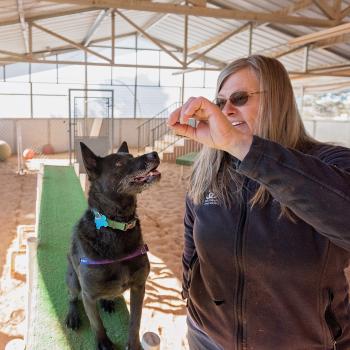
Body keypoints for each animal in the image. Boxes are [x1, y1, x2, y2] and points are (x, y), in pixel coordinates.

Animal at [65, 142, 161, 350]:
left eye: (131, 156)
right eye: (118, 163)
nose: (155, 154)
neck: (116, 227)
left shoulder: (139, 287)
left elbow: (135, 322)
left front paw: (133, 344)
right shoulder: (88, 295)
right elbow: (97, 324)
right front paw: (103, 343)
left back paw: (107, 302)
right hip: (73, 281)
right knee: (72, 298)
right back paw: (72, 315)